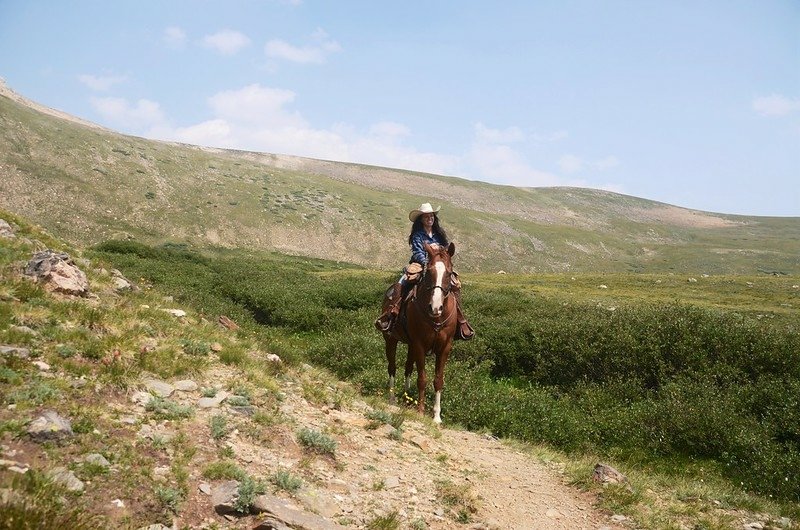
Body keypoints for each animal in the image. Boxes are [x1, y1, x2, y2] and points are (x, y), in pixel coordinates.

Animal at [382, 241, 456, 422]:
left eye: (449, 273)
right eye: (428, 272)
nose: (435, 307)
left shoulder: (444, 348)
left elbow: (438, 380)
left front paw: (436, 416)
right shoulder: (420, 345)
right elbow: (422, 378)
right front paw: (421, 411)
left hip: (410, 345)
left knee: (408, 368)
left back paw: (407, 397)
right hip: (391, 340)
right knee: (392, 367)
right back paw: (392, 398)